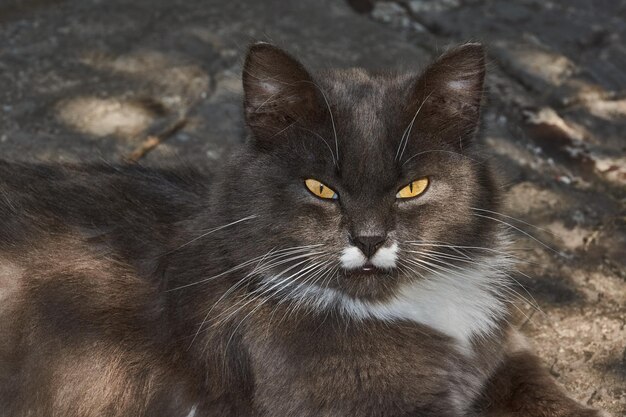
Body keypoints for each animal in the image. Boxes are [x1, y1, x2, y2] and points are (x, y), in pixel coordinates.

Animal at [0, 42, 608, 416]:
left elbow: (541, 387)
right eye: (321, 188)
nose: (369, 239)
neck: (396, 307)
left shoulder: (503, 349)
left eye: (413, 188)